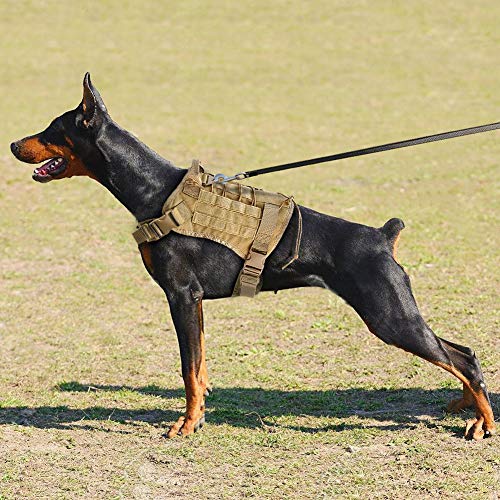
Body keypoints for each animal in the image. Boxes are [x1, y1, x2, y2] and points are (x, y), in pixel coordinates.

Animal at [9, 73, 494, 438]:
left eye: (52, 129)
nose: (13, 145)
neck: (155, 191)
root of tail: (382, 235)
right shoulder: (195, 302)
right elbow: (200, 369)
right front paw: (198, 418)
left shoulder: (181, 295)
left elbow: (187, 369)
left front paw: (185, 427)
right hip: (395, 315)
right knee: (461, 353)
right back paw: (466, 406)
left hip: (389, 316)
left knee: (462, 358)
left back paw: (483, 424)